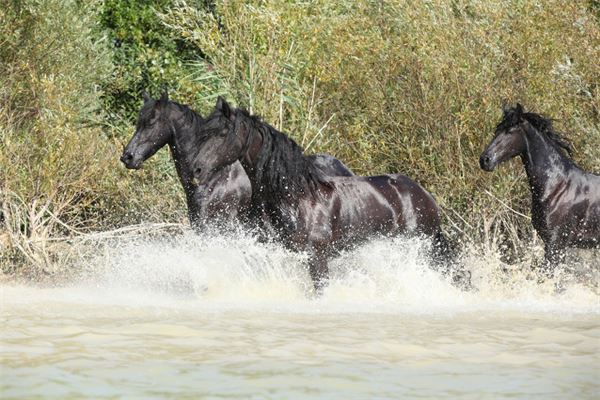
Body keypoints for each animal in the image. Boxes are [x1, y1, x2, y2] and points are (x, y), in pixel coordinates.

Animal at [190, 97, 466, 290]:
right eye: (202, 134)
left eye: (222, 134)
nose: (197, 169)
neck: (294, 199)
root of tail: (425, 196)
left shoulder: (318, 258)